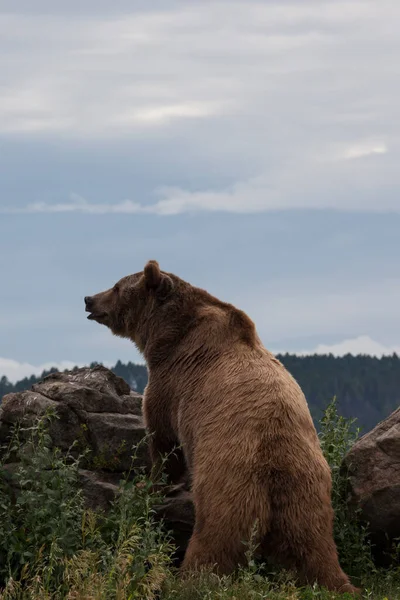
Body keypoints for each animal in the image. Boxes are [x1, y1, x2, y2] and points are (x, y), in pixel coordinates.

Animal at [84, 260, 360, 592]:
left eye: (115, 287)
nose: (88, 299)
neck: (166, 331)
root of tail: (275, 474)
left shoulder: (171, 382)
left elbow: (163, 439)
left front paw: (147, 483)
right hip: (308, 494)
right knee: (313, 545)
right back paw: (339, 582)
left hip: (228, 485)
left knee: (215, 539)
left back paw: (186, 578)